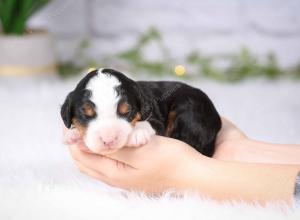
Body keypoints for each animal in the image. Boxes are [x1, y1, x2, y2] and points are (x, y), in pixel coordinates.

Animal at [61, 69, 221, 156]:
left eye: (127, 112)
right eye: (86, 114)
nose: (108, 139)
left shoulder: (156, 118)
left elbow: (147, 123)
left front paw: (137, 133)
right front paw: (73, 134)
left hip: (189, 109)